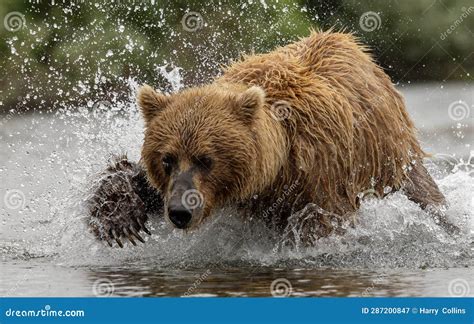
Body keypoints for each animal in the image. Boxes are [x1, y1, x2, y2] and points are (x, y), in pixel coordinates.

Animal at [87, 31, 454, 248]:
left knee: (424, 189)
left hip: (391, 148)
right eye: (167, 158)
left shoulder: (317, 174)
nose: (179, 212)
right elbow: (132, 178)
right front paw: (119, 219)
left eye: (207, 159)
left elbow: (319, 223)